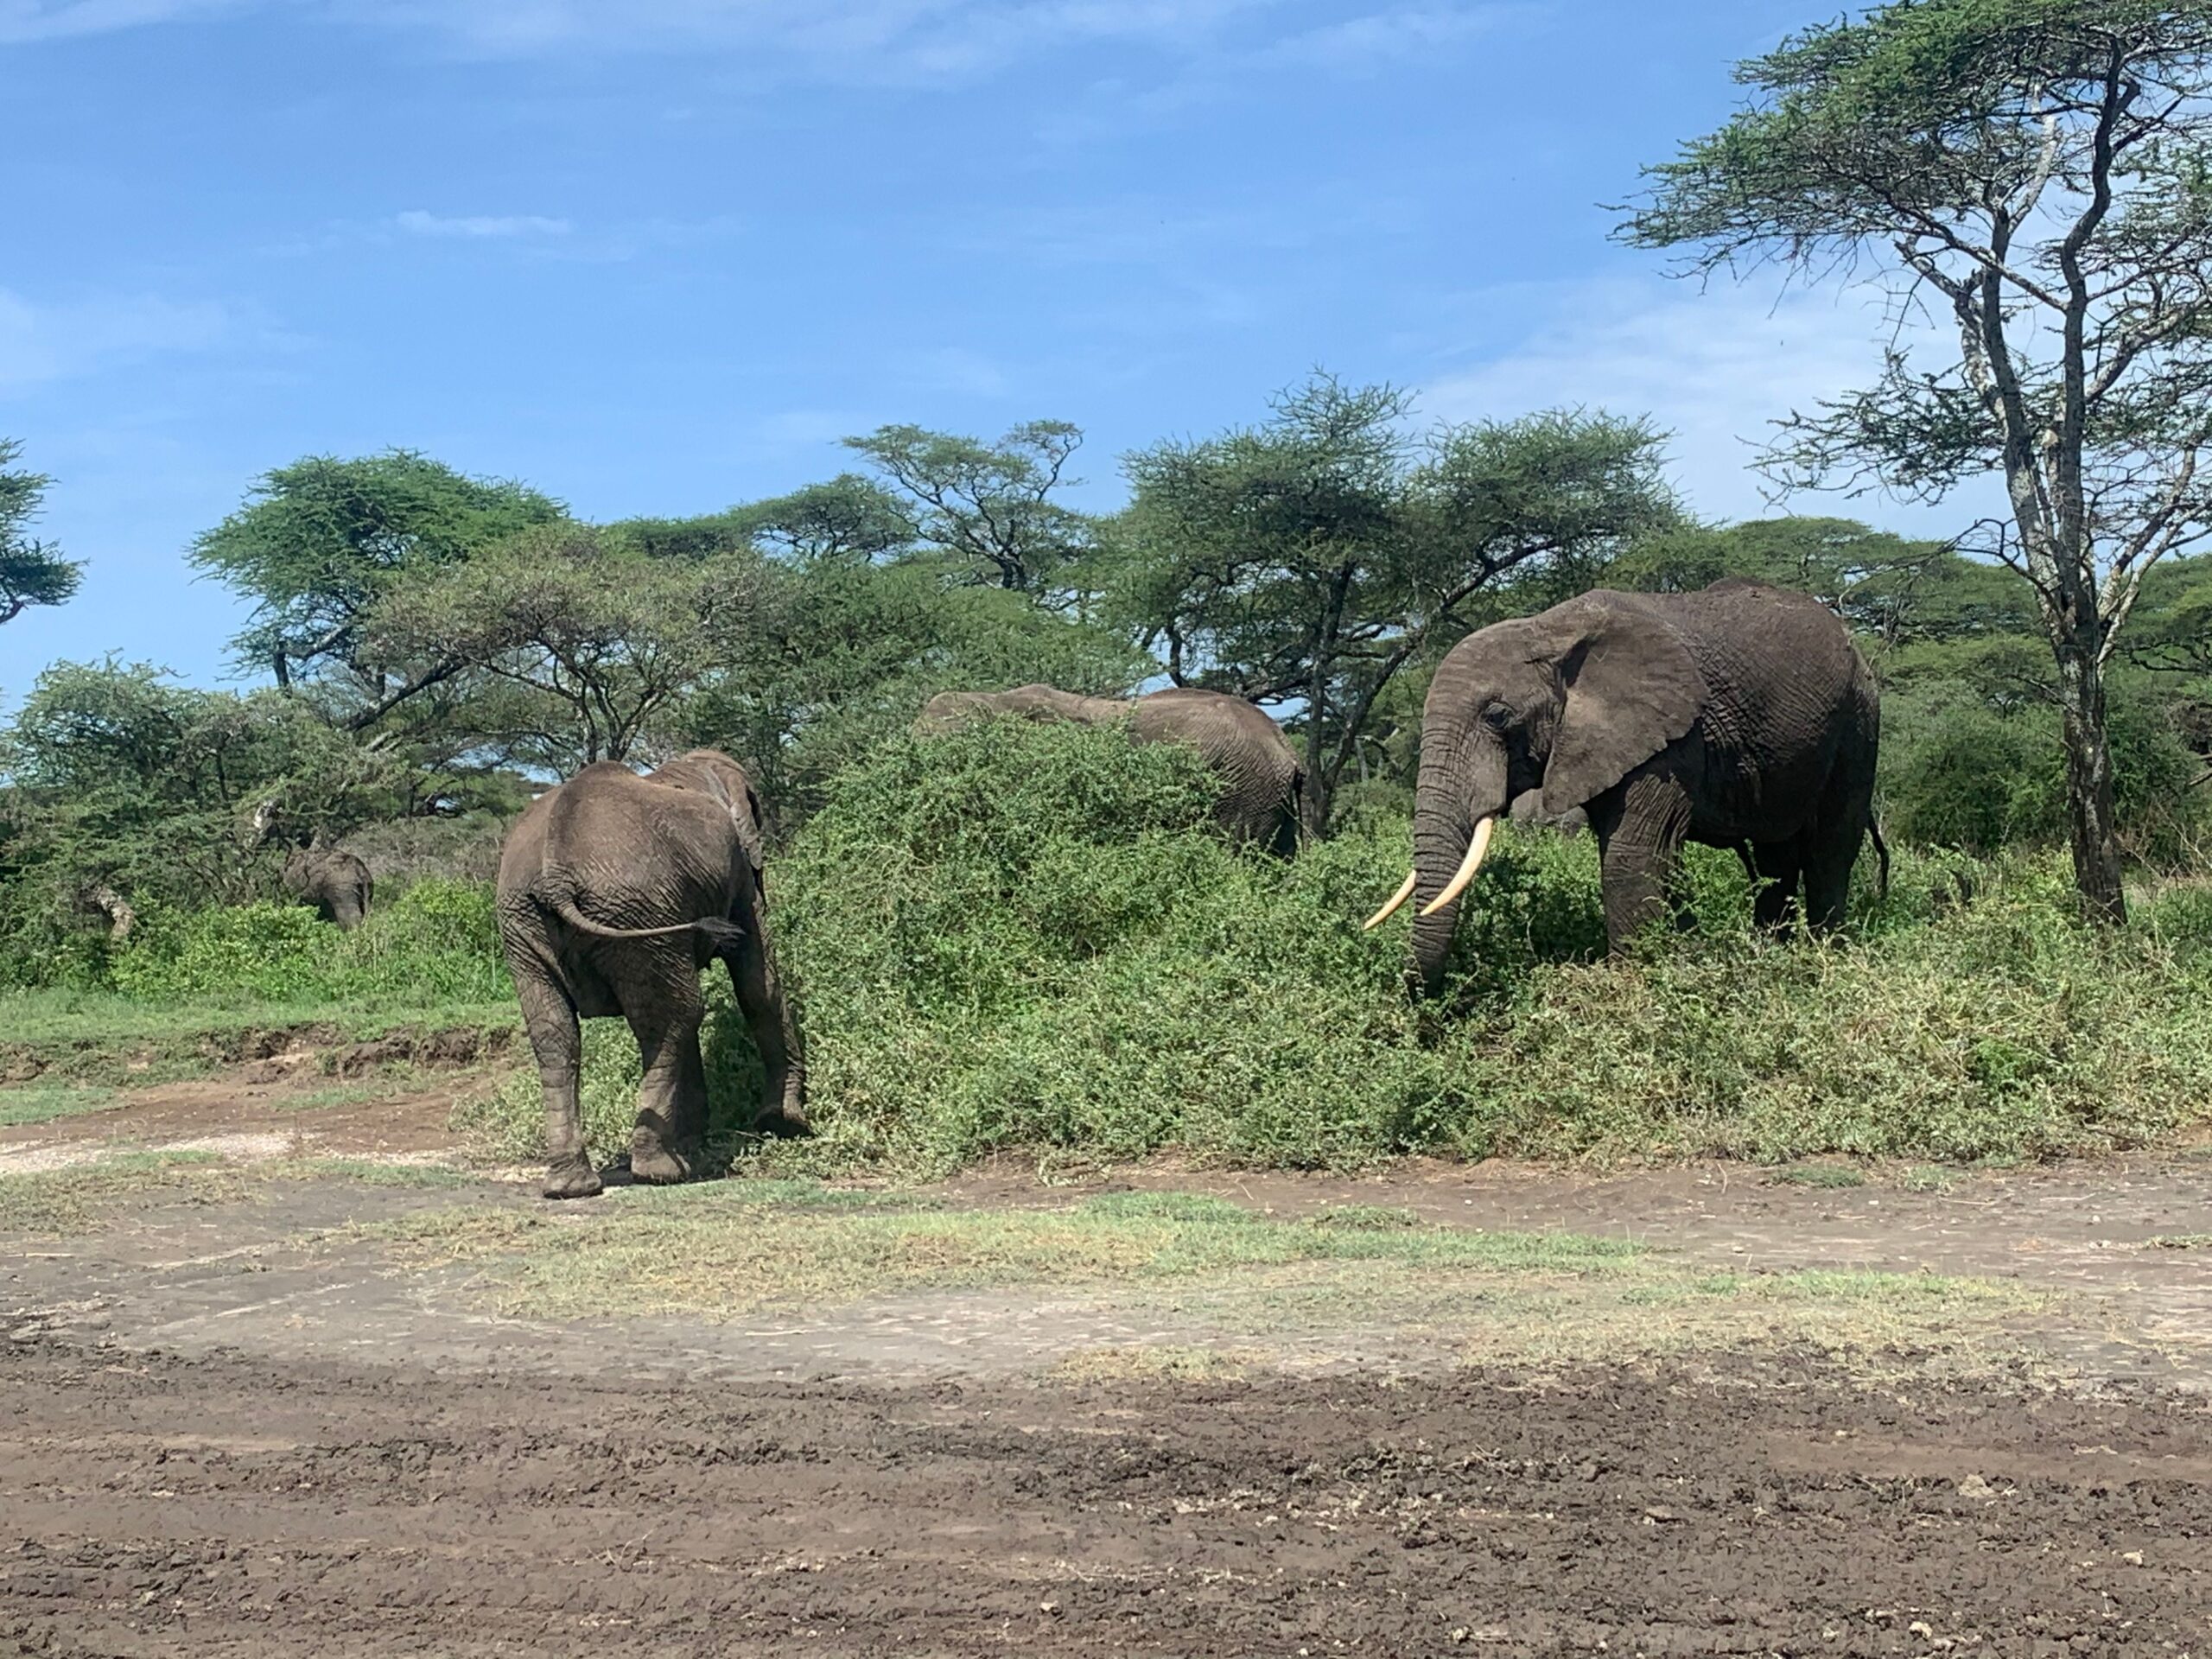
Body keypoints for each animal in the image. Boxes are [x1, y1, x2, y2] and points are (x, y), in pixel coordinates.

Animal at [496, 749, 807, 1200]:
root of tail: (557, 878)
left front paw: (697, 1138)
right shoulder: (738, 874)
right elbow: (758, 984)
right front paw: (785, 1124)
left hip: (528, 923)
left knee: (556, 1035)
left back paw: (571, 1186)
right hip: (634, 909)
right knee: (674, 1018)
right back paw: (660, 1171)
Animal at [1367, 579, 1886, 995]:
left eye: (1497, 717)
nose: (1420, 999)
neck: (1550, 630)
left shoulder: (1671, 741)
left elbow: (1632, 854)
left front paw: (1635, 986)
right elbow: (1652, 855)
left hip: (1858, 719)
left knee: (1830, 846)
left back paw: (1824, 955)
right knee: (1776, 855)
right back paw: (1770, 954)